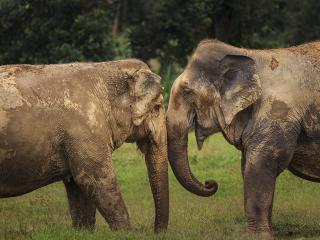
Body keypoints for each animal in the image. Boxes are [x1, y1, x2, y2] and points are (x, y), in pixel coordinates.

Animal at [0, 59, 169, 232]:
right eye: (157, 108)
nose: (155, 232)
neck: (106, 67)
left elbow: (77, 185)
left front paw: (83, 231)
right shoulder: (85, 129)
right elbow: (96, 180)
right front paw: (127, 232)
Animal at [166, 39, 320, 238]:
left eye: (186, 91)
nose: (210, 183)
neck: (249, 55)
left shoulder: (278, 114)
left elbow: (260, 167)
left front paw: (261, 237)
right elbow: (247, 166)